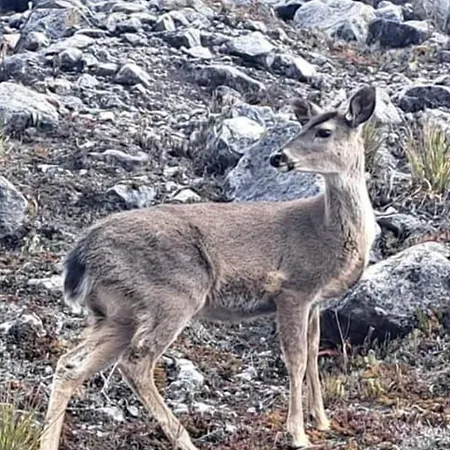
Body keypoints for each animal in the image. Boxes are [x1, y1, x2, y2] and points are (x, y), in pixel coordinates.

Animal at [40, 85, 377, 450]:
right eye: (304, 126)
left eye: (324, 131)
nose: (278, 157)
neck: (327, 232)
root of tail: (81, 254)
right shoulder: (293, 289)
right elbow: (297, 359)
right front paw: (298, 435)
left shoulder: (314, 301)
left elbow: (313, 355)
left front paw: (323, 421)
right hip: (172, 294)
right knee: (136, 363)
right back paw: (185, 440)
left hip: (117, 312)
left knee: (70, 364)